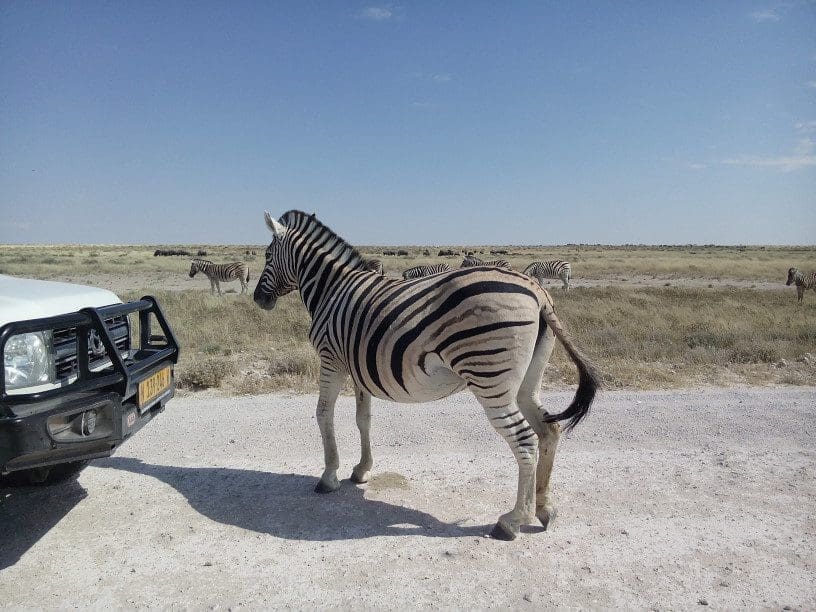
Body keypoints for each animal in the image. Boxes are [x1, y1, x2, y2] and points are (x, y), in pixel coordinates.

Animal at [253, 210, 600, 540]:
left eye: (268, 255)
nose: (258, 299)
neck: (331, 290)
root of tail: (536, 290)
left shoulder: (331, 358)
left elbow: (324, 413)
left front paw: (328, 477)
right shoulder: (358, 365)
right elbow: (363, 419)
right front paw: (362, 470)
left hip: (490, 378)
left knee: (525, 440)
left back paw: (512, 521)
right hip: (528, 381)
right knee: (548, 431)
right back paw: (544, 509)